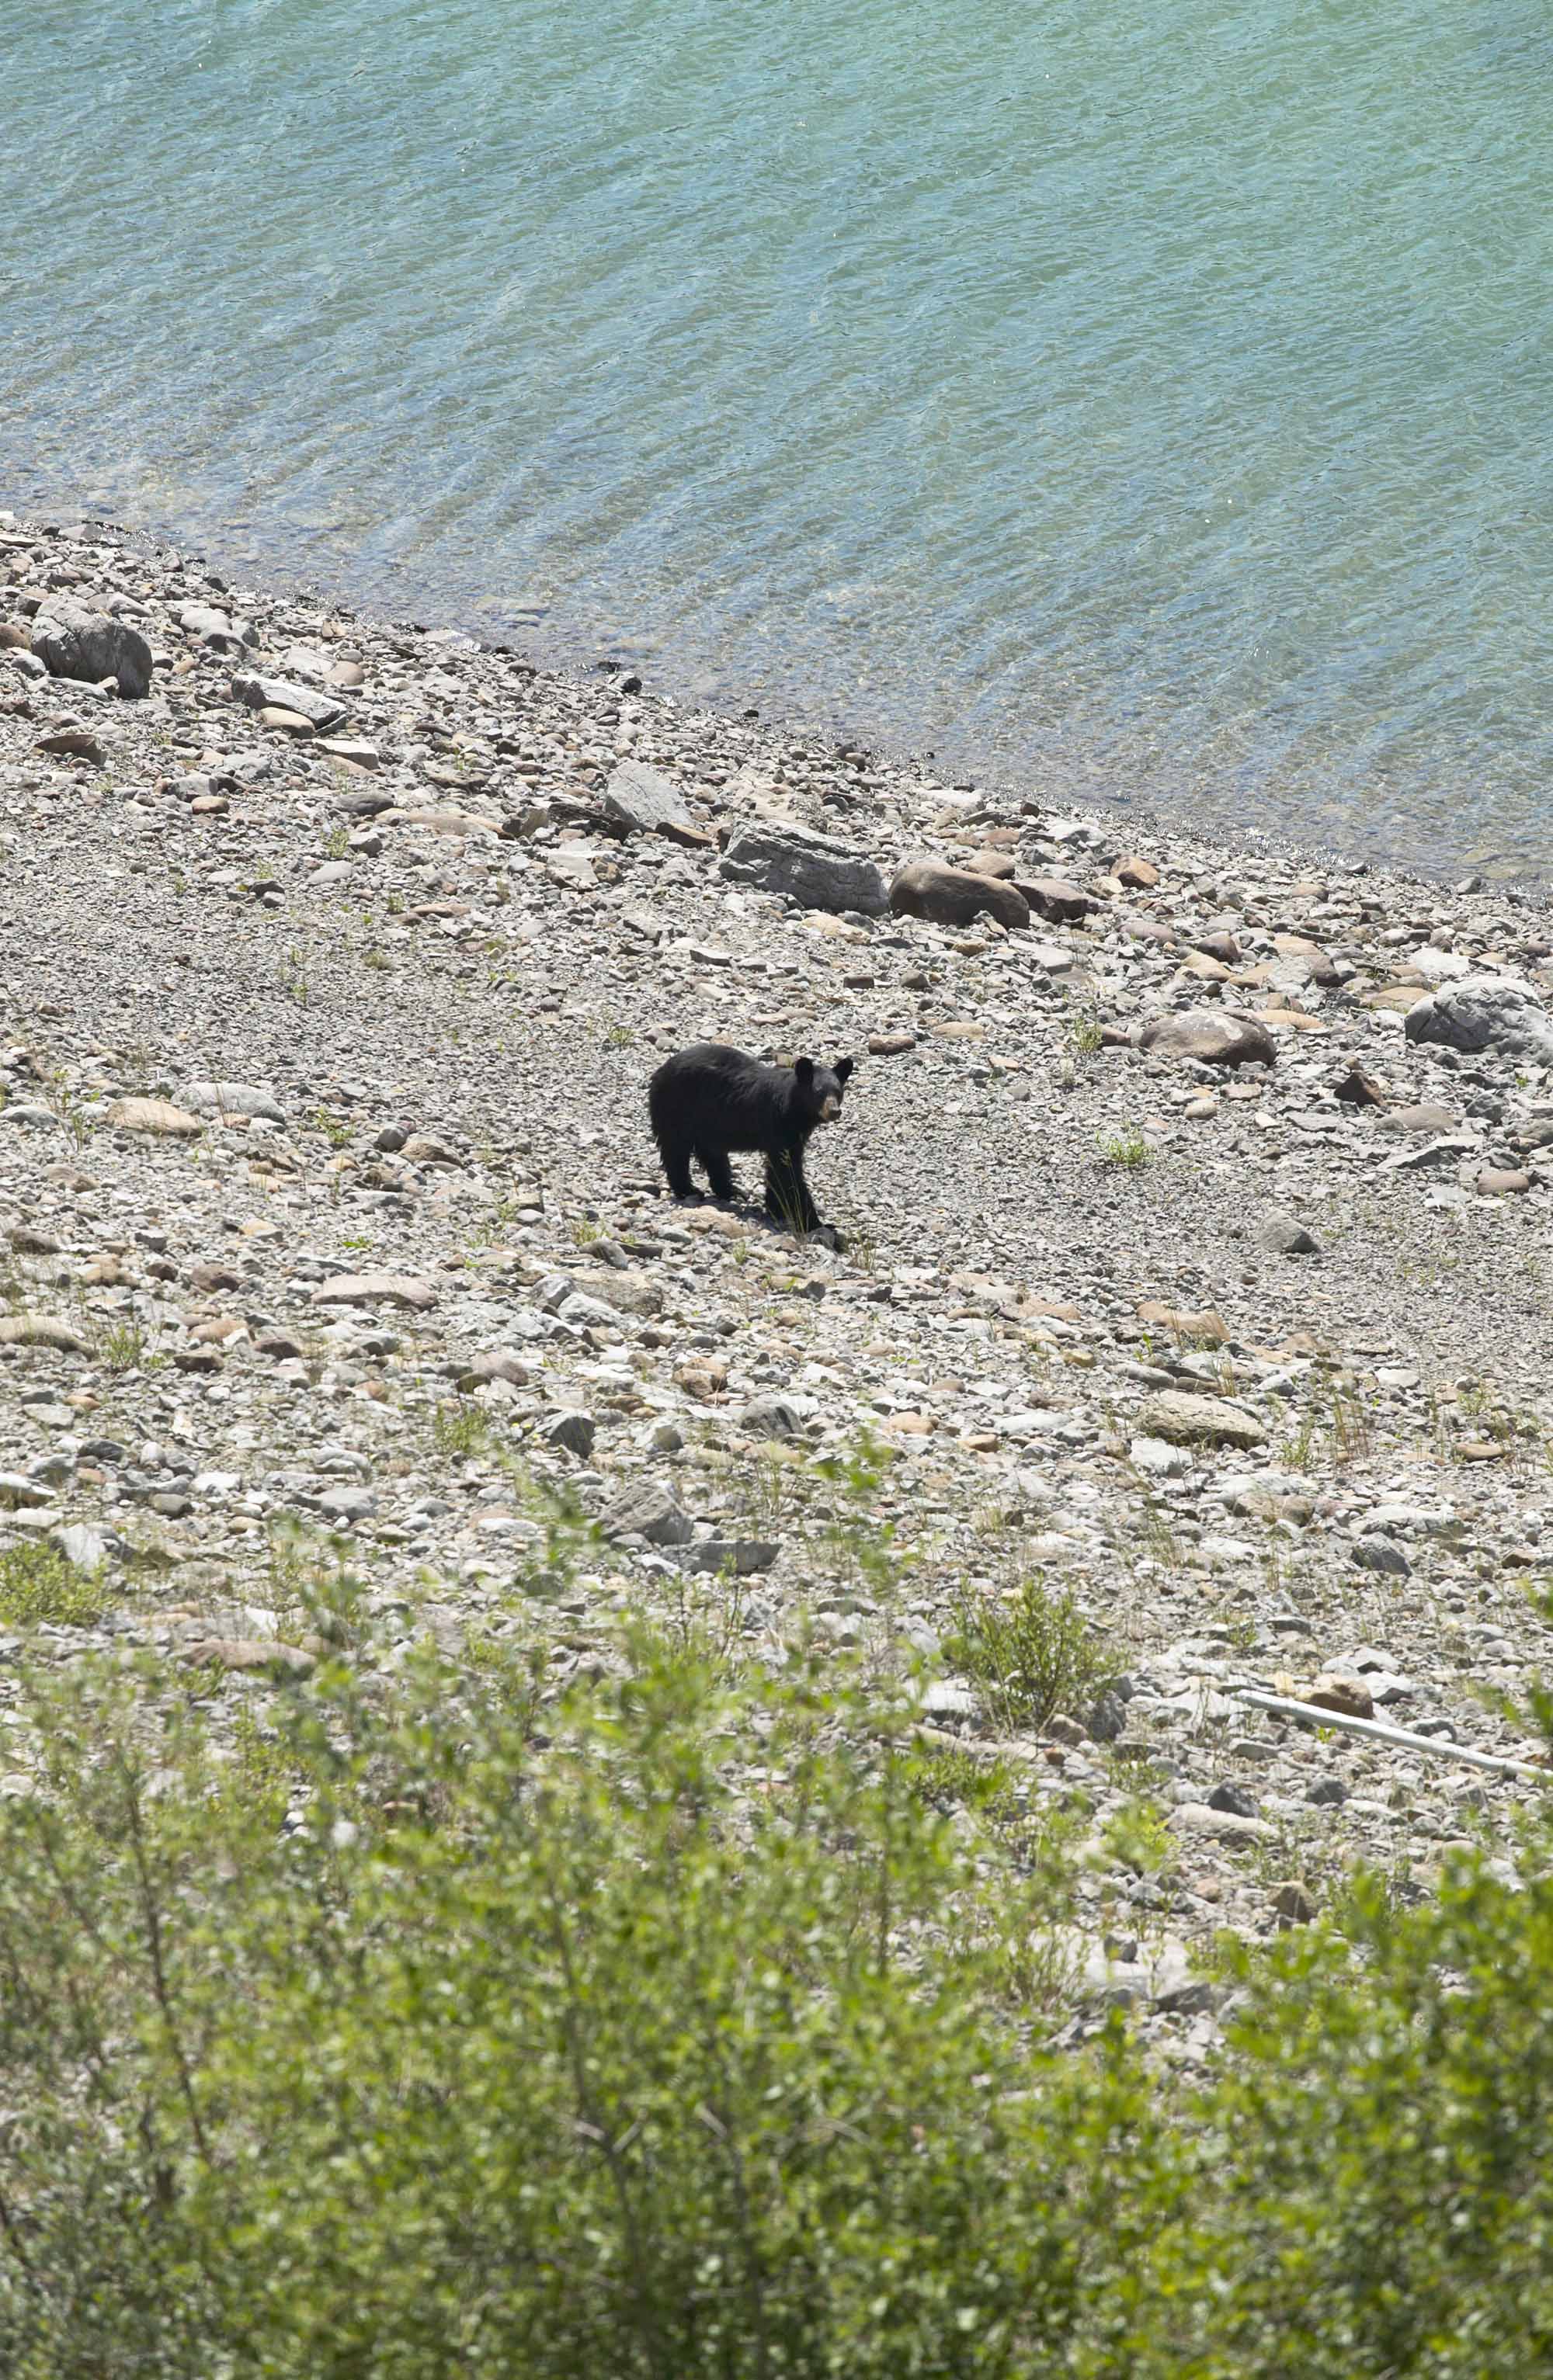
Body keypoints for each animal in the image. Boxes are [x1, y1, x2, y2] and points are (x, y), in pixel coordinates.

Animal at [648, 1047, 857, 1237]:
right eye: (818, 1092)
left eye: (839, 1091)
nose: (834, 1111)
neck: (795, 1112)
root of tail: (660, 1070)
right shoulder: (778, 1126)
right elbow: (788, 1173)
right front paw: (815, 1223)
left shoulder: (794, 1136)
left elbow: (780, 1171)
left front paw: (777, 1209)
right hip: (677, 1107)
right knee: (676, 1149)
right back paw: (688, 1190)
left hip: (708, 1123)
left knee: (711, 1153)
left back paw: (730, 1190)